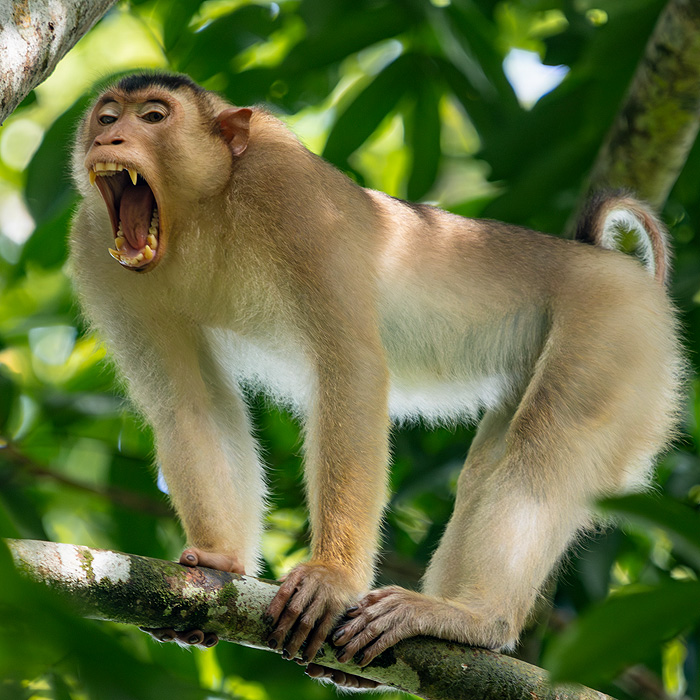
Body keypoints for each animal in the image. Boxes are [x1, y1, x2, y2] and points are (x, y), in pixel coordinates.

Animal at [69, 71, 683, 685]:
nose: (108, 141)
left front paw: (331, 580)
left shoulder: (293, 195)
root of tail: (609, 265)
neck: (203, 214)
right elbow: (190, 405)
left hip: (614, 328)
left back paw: (477, 619)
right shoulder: (95, 251)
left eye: (153, 117)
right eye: (107, 117)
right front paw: (221, 558)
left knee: (546, 448)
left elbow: (351, 367)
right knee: (490, 465)